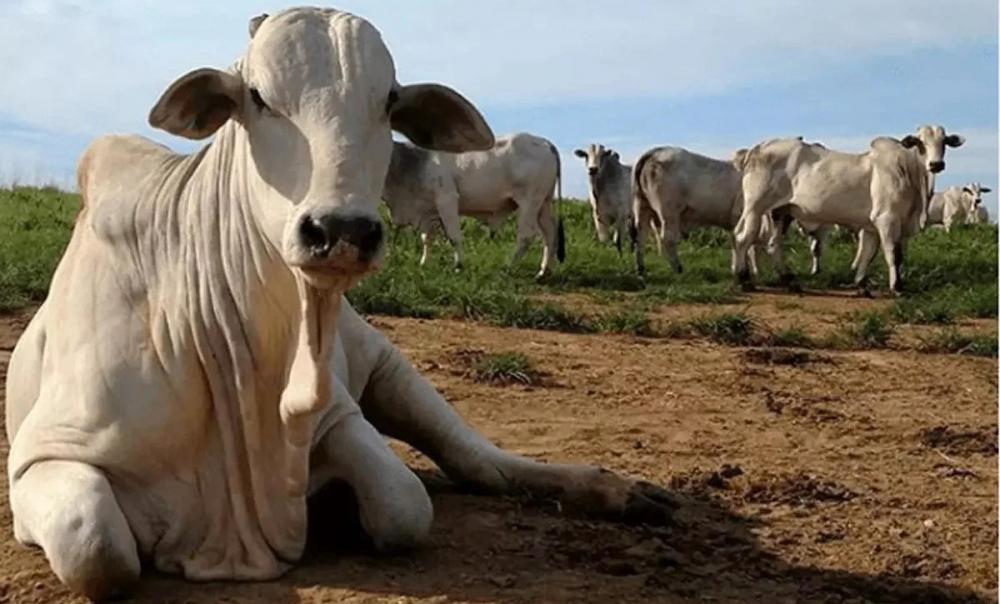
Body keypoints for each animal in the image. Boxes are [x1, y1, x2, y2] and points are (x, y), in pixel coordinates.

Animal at [383, 133, 566, 277]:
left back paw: (508, 267)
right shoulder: (429, 211)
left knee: (526, 236)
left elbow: (454, 237)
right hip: (543, 204)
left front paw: (458, 265)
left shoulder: (447, 199)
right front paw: (423, 263)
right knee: (550, 233)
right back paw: (544, 271)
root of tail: (545, 142)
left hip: (529, 202)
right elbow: (427, 239)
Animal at [630, 146, 767, 276]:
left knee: (640, 236)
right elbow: (748, 244)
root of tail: (656, 151)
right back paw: (678, 269)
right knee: (668, 238)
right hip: (669, 212)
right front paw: (747, 270)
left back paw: (640, 269)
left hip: (642, 206)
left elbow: (737, 242)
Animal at [732, 131, 949, 294]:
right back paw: (744, 280)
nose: (936, 164)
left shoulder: (871, 227)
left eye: (944, 142)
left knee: (772, 245)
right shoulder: (887, 219)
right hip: (755, 208)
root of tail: (757, 148)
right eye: (921, 143)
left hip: (782, 212)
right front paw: (897, 287)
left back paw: (790, 281)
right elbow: (894, 254)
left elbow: (867, 253)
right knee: (743, 238)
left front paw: (861, 285)